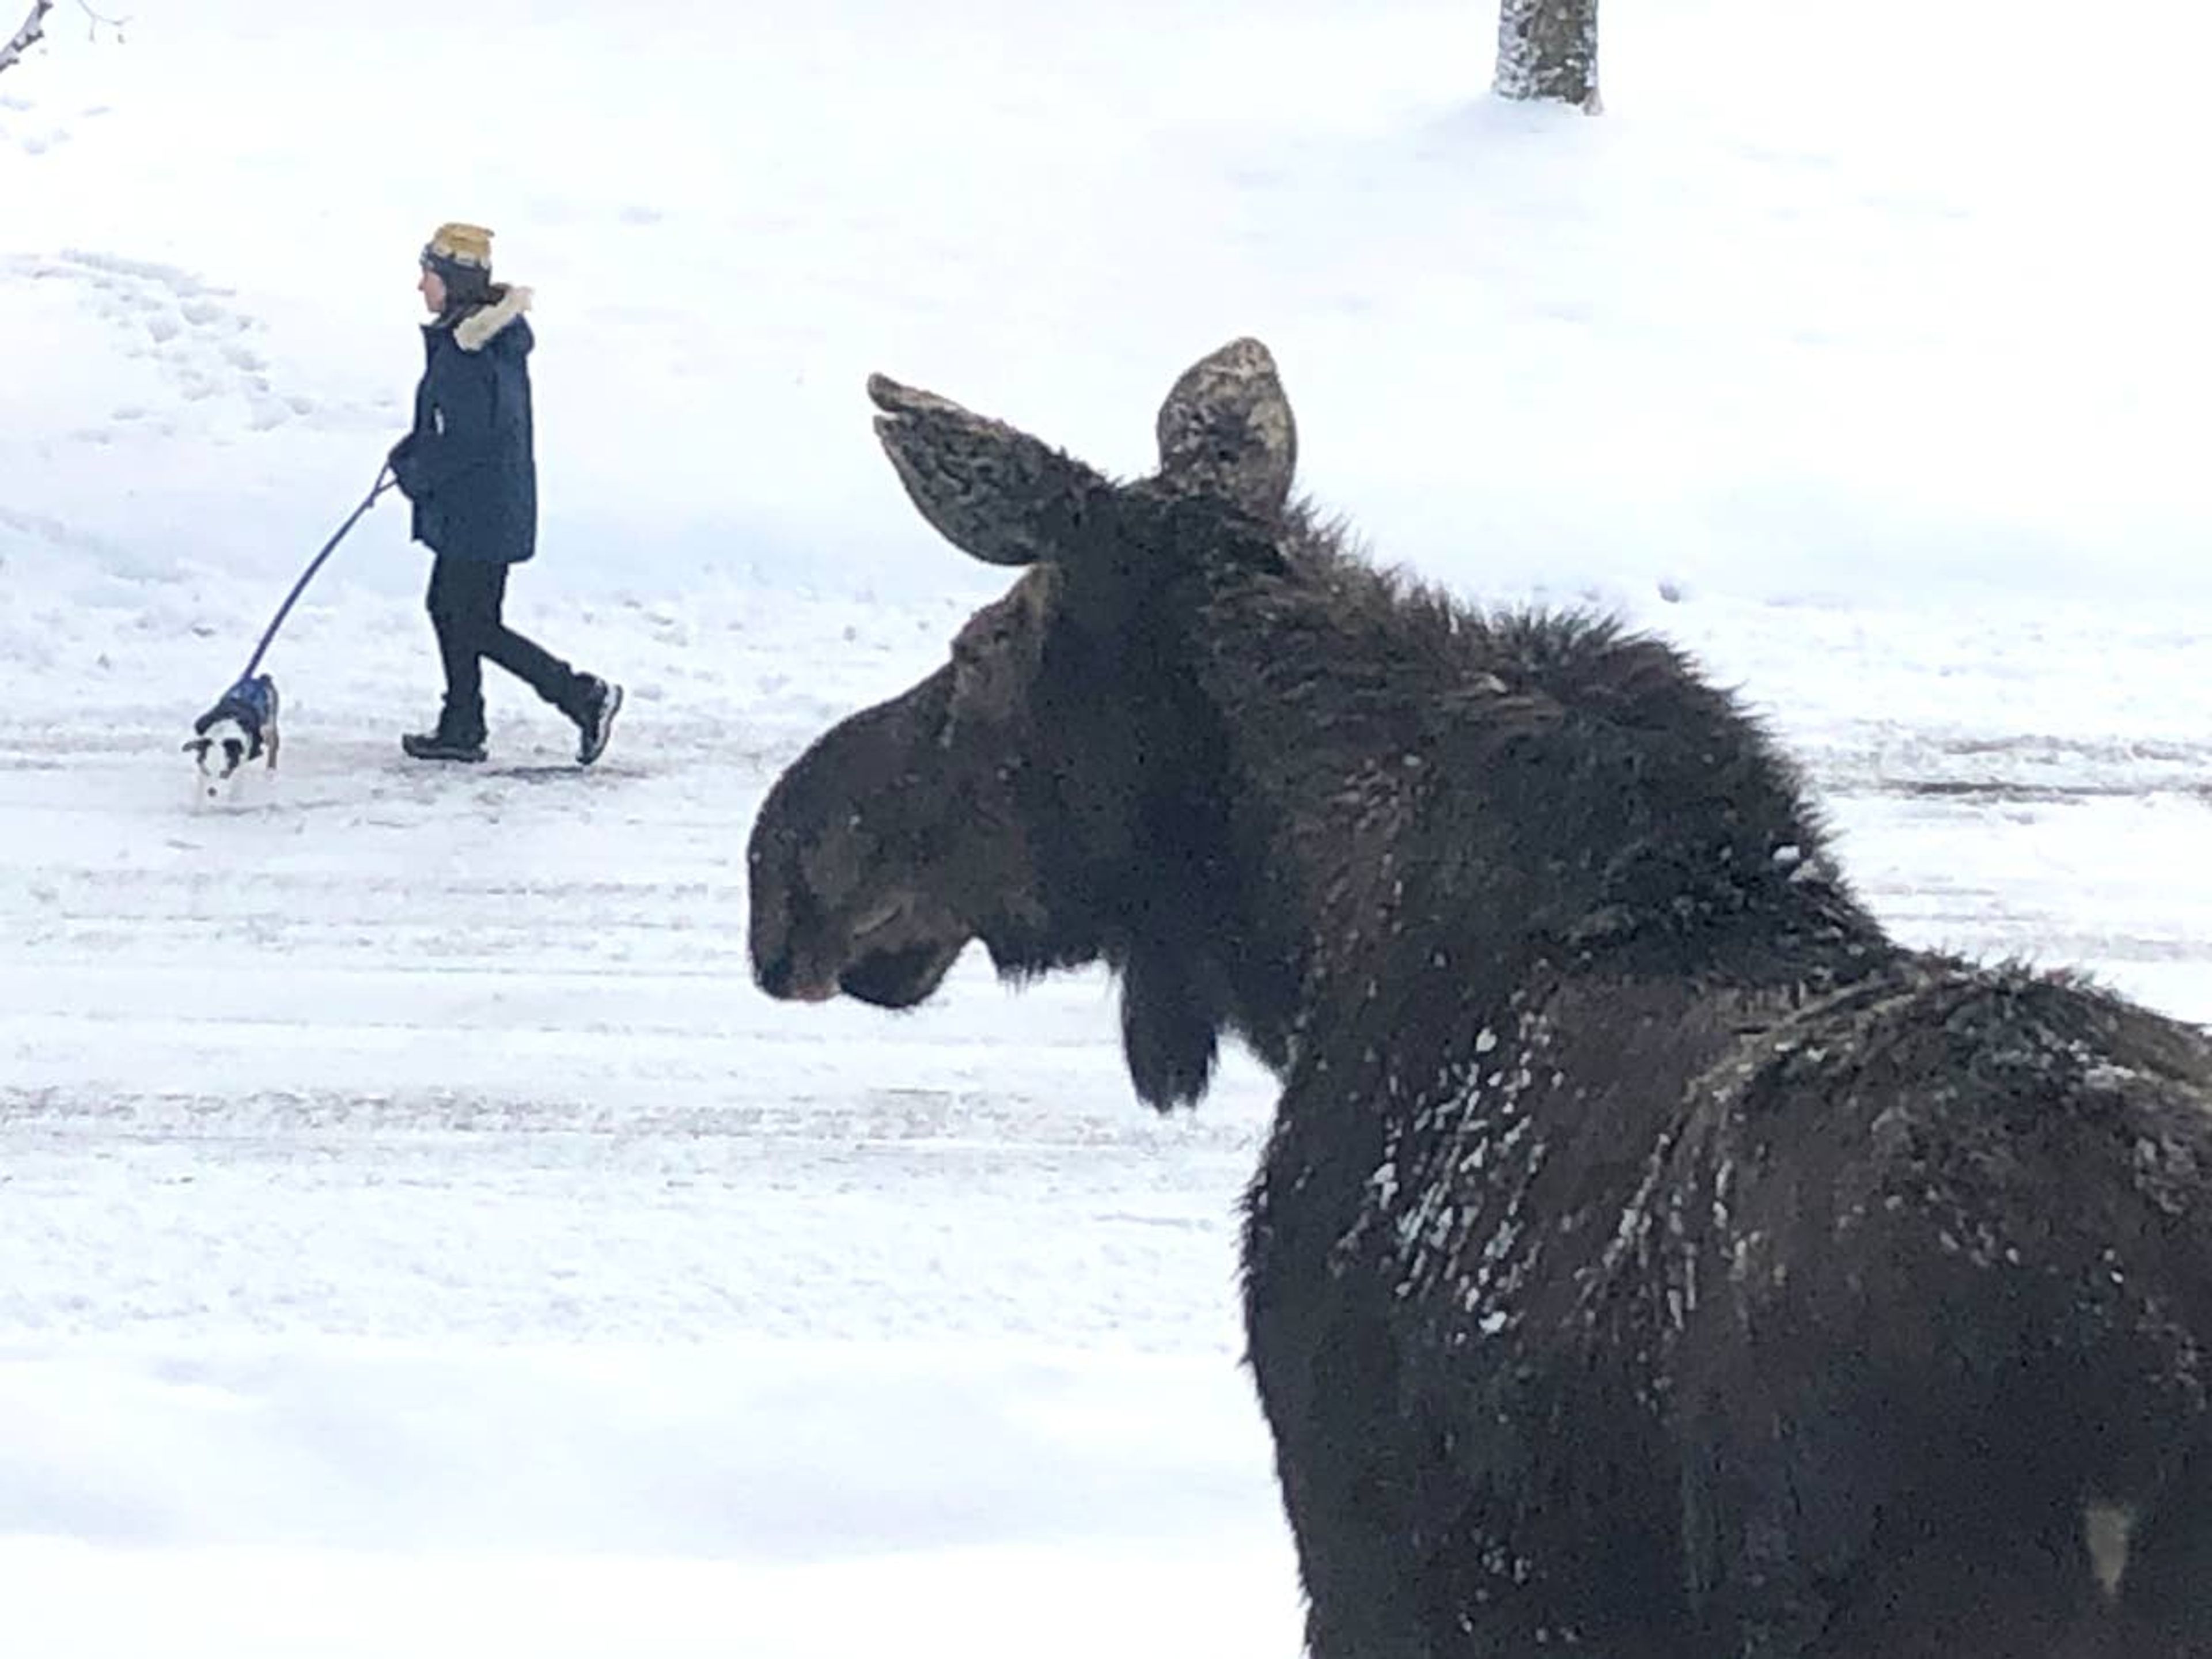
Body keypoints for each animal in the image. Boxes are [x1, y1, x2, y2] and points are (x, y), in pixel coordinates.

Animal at [183, 672, 281, 796]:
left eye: (224, 774)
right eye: (207, 771)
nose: (212, 791)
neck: (223, 732)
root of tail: (262, 679)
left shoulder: (241, 761)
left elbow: (236, 786)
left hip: (268, 725)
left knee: (273, 744)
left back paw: (270, 771)